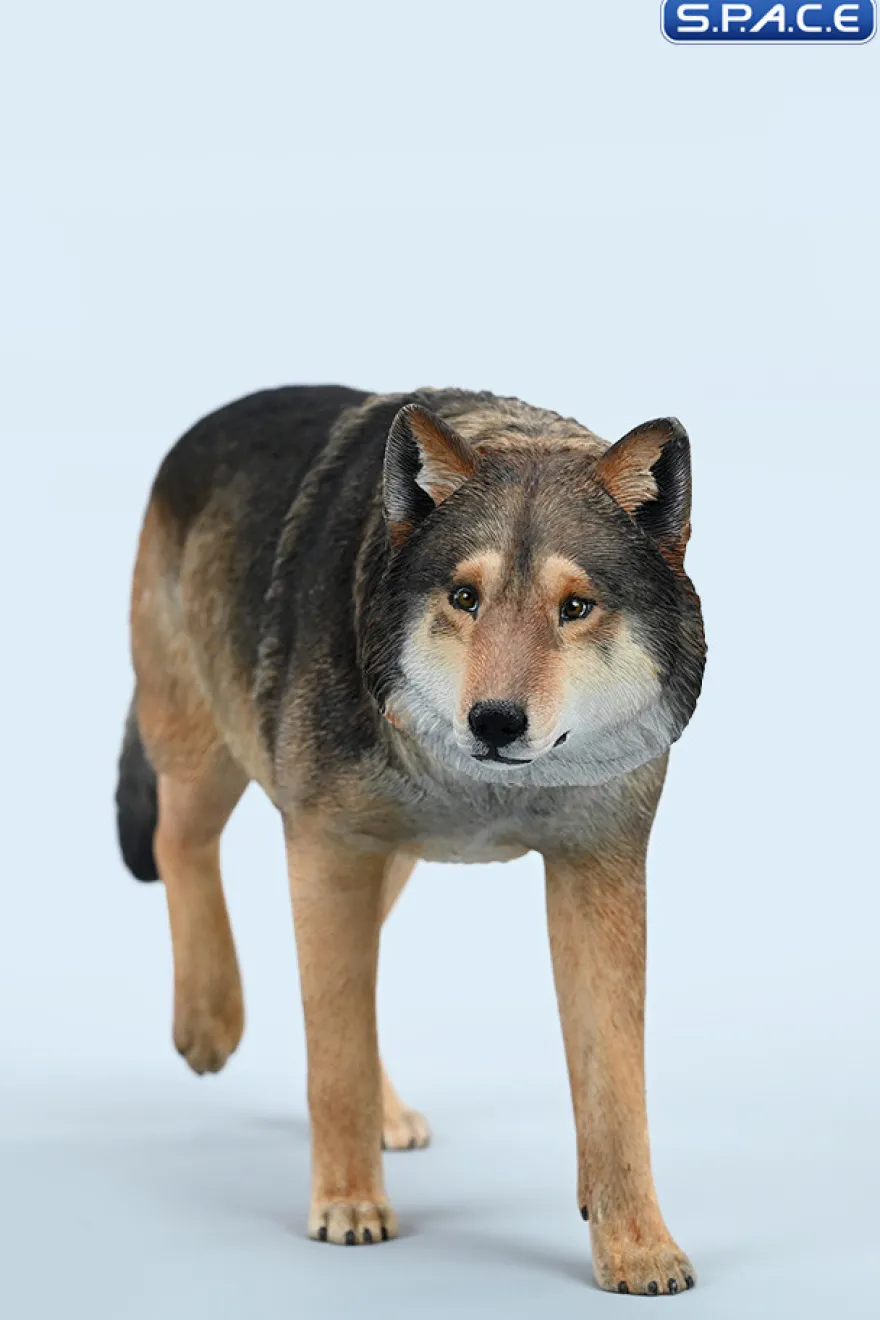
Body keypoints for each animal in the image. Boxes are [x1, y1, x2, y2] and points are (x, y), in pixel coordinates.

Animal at [116, 385, 706, 1295]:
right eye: (464, 598)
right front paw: (349, 1205)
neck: (487, 789)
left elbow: (614, 1090)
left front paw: (638, 1249)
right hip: (215, 755)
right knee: (183, 843)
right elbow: (336, 1054)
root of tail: (211, 420)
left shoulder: (598, 868)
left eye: (574, 608)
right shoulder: (327, 847)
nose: (494, 722)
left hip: (385, 859)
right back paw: (208, 1021)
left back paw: (386, 1111)